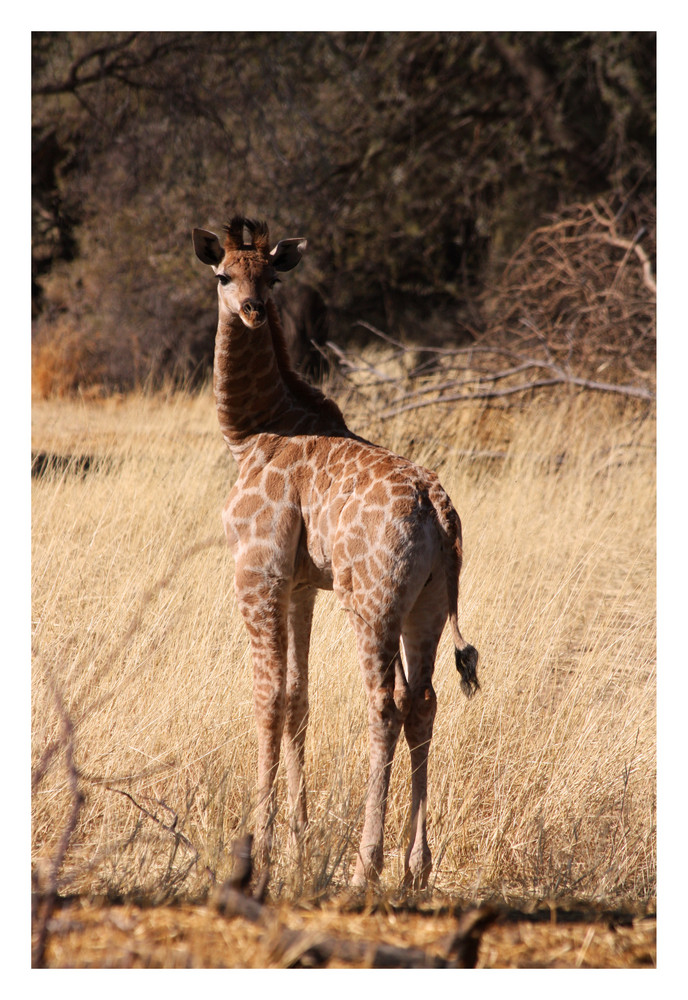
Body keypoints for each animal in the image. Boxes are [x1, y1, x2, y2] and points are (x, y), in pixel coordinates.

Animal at [191, 219, 476, 892]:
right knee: (423, 701)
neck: (253, 430)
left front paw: (262, 852)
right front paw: (298, 847)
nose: (253, 309)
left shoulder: (257, 570)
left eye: (269, 278)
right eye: (224, 274)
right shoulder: (299, 585)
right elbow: (299, 699)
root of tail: (440, 510)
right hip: (427, 604)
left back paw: (365, 865)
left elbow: (267, 698)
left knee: (385, 705)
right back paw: (416, 866)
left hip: (373, 604)